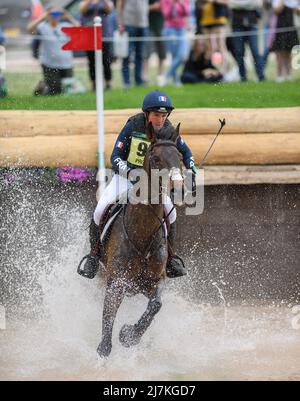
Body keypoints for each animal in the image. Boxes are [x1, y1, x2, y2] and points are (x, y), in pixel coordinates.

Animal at [97, 121, 184, 356]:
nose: (178, 188)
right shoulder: (116, 282)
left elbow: (155, 305)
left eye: (179, 157)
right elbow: (108, 319)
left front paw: (129, 335)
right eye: (156, 158)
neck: (142, 233)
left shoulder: (152, 281)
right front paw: (104, 348)